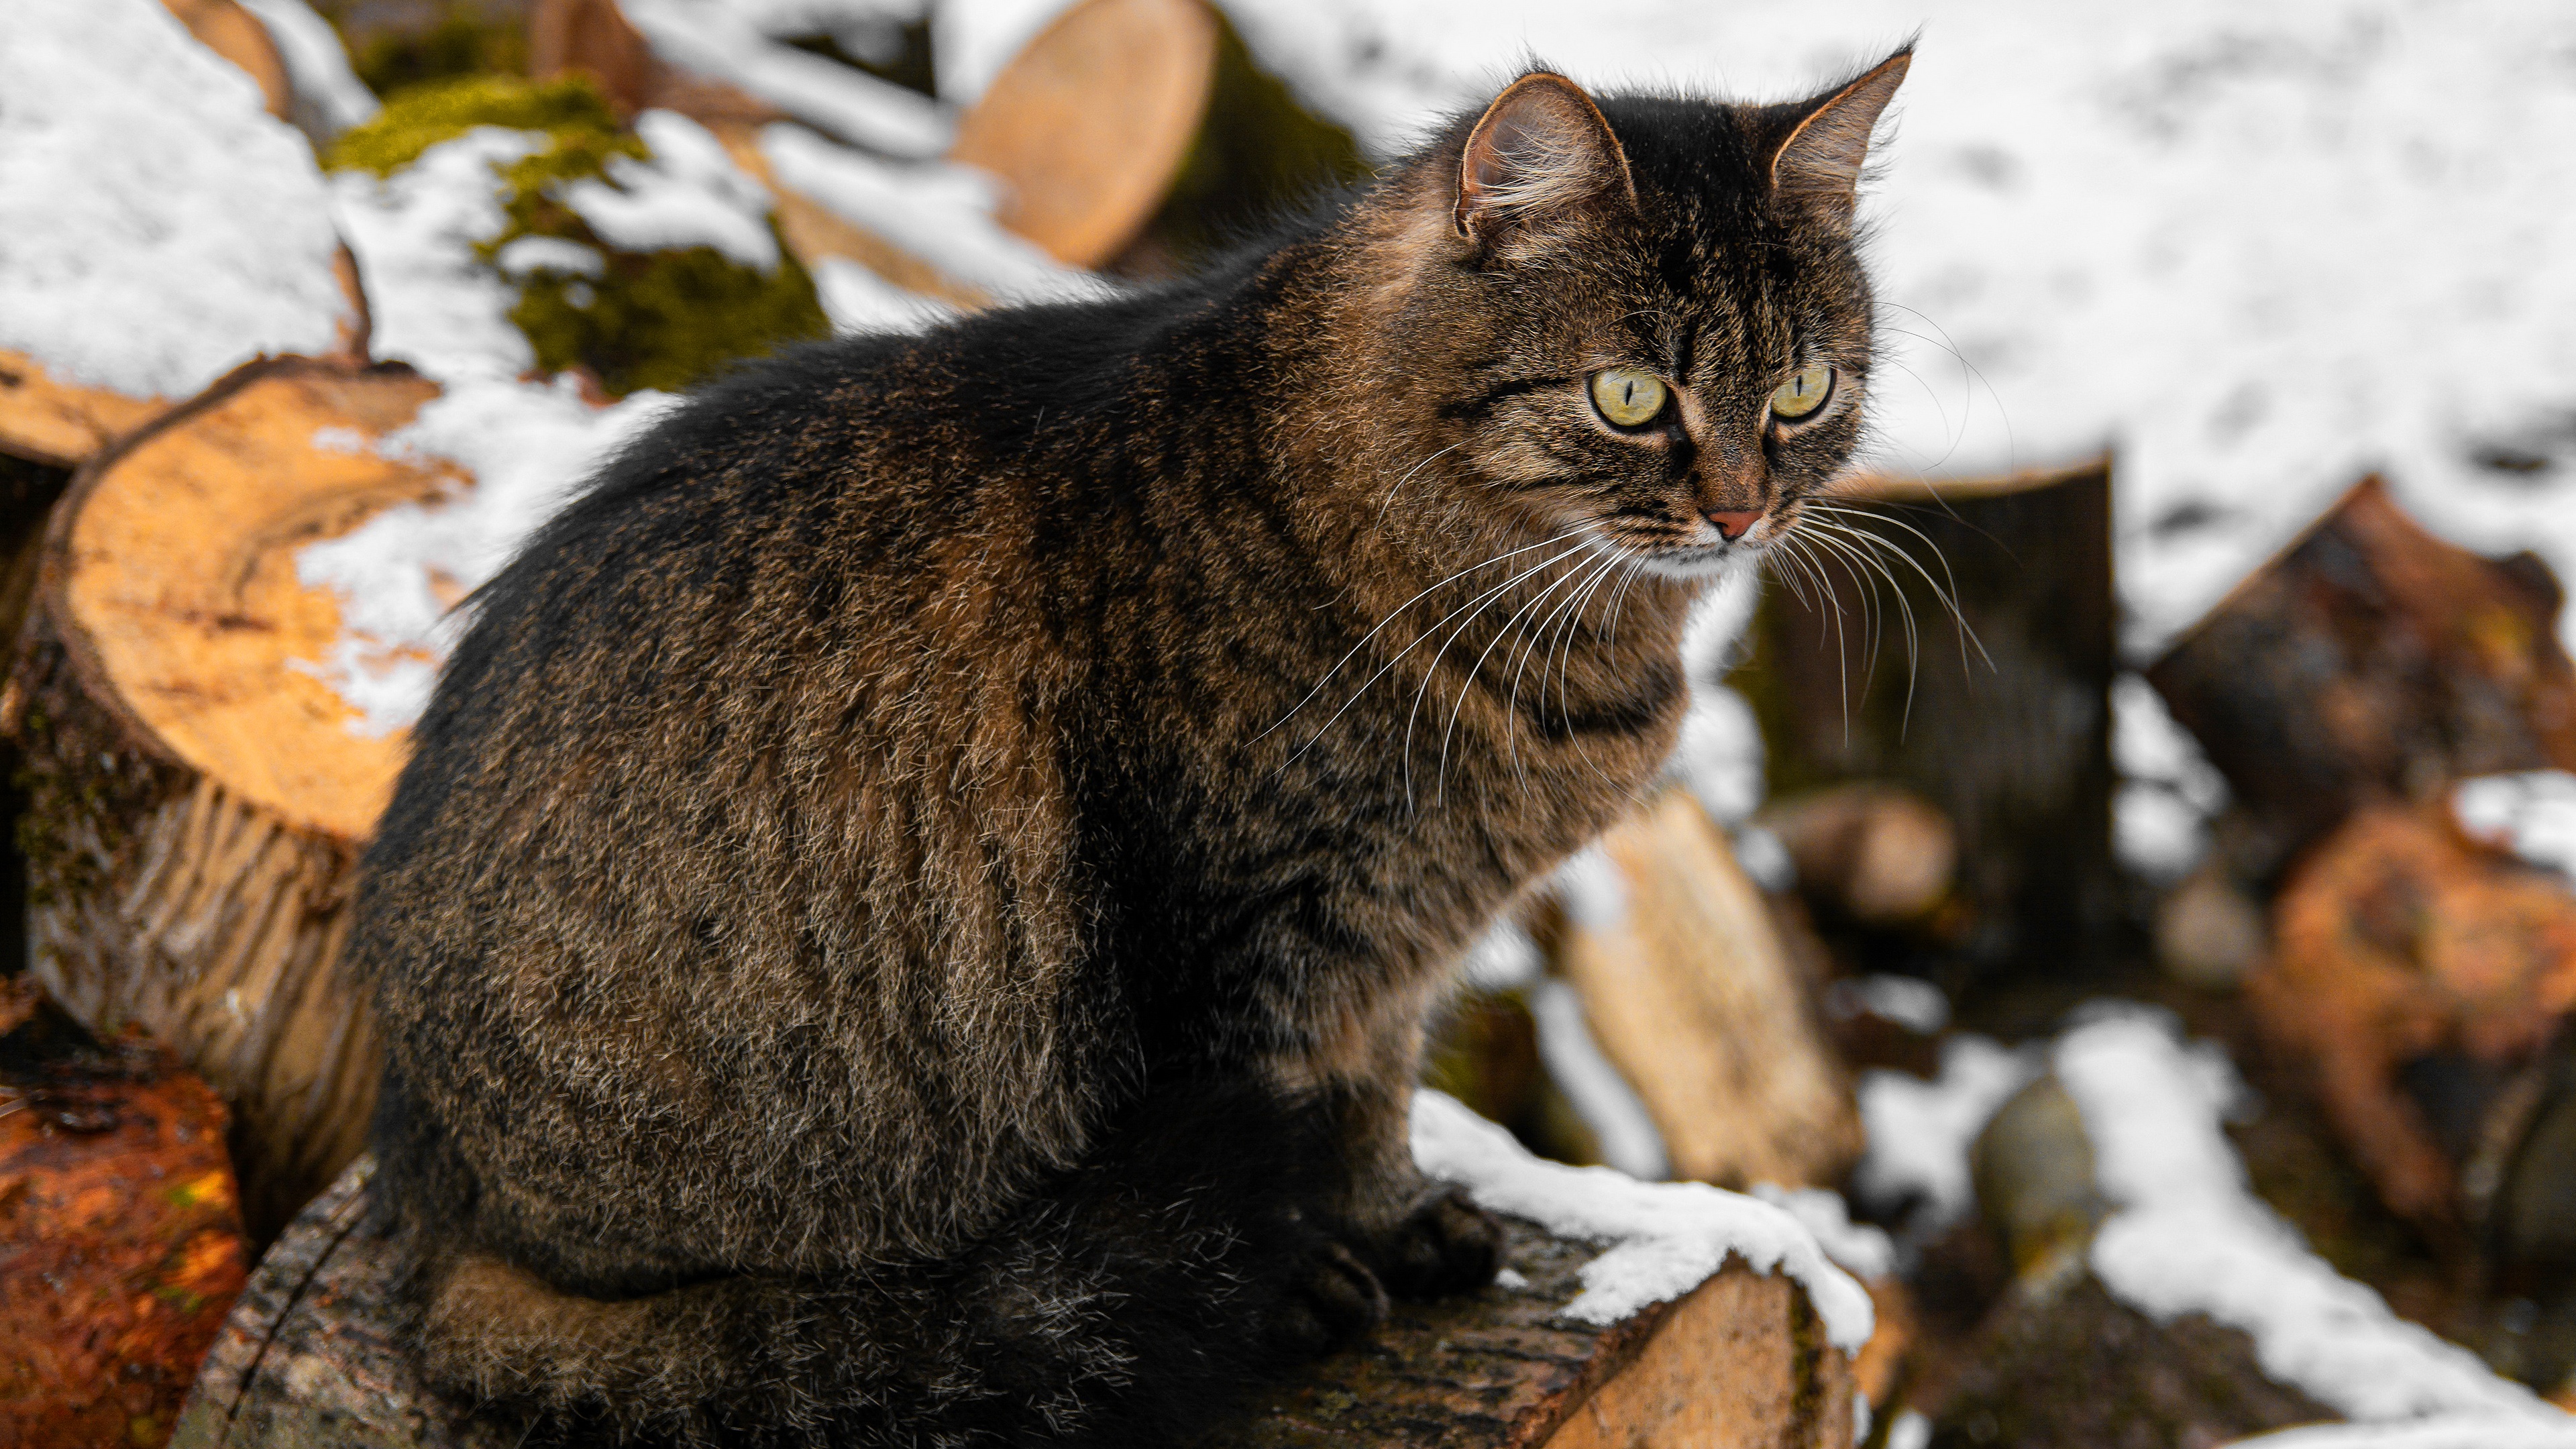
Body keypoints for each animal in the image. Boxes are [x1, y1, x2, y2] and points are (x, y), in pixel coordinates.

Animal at [347, 48, 1916, 1444]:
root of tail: (424, 1207)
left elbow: (1375, 1099)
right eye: (1632, 398)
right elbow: (1281, 1115)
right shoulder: (1235, 938)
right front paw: (1304, 1284)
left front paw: (1393, 1222)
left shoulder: (1393, 944)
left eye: (1802, 392)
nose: (1742, 512)